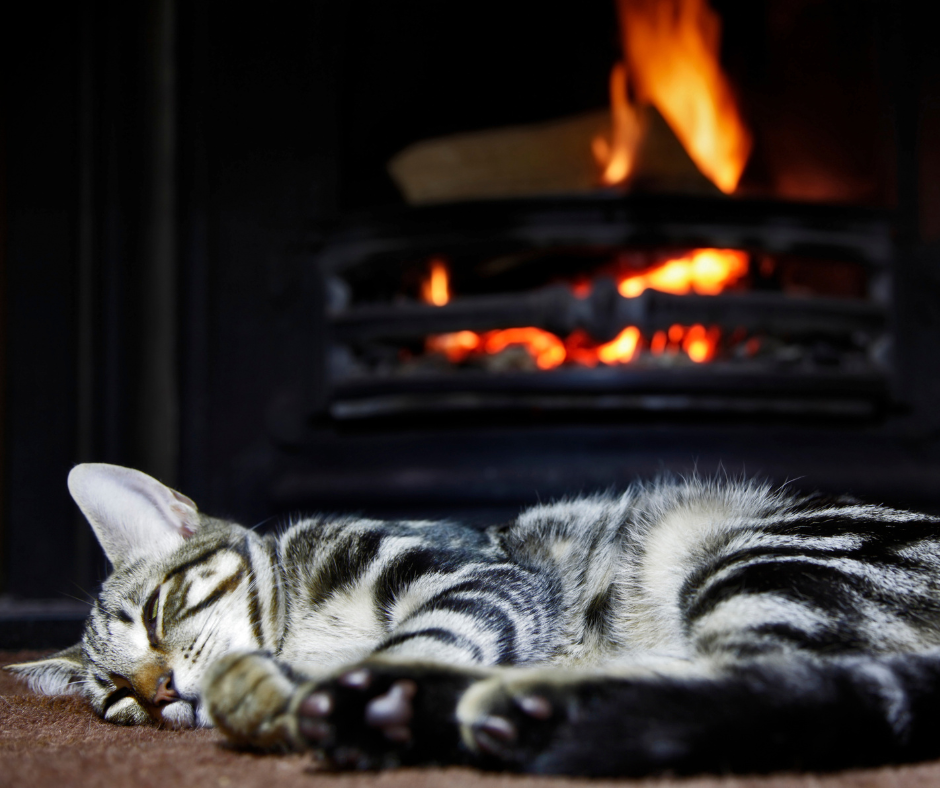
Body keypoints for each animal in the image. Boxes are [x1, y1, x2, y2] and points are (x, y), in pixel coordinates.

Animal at [9, 462, 940, 776]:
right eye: (114, 700)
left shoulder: (473, 576)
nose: (160, 691)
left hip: (745, 556)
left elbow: (424, 635)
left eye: (156, 614)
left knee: (771, 683)